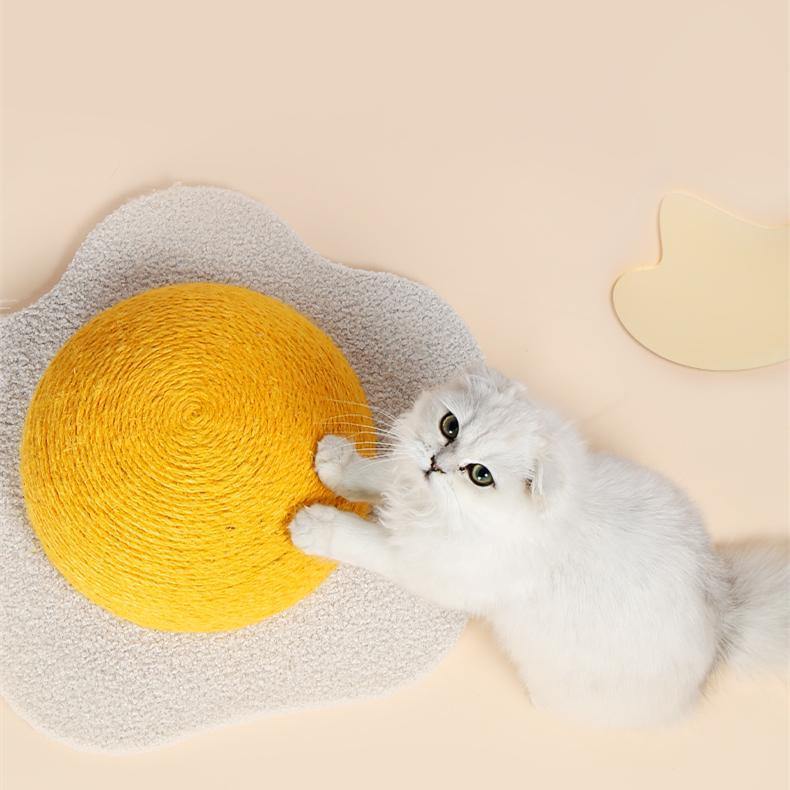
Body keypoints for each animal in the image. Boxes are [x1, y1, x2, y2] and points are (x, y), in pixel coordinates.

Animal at [290, 368, 790, 728]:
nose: (436, 462)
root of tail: (723, 617)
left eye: (480, 475)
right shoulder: (408, 490)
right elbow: (378, 474)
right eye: (449, 426)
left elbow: (358, 538)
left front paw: (311, 526)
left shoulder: (421, 563)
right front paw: (336, 463)